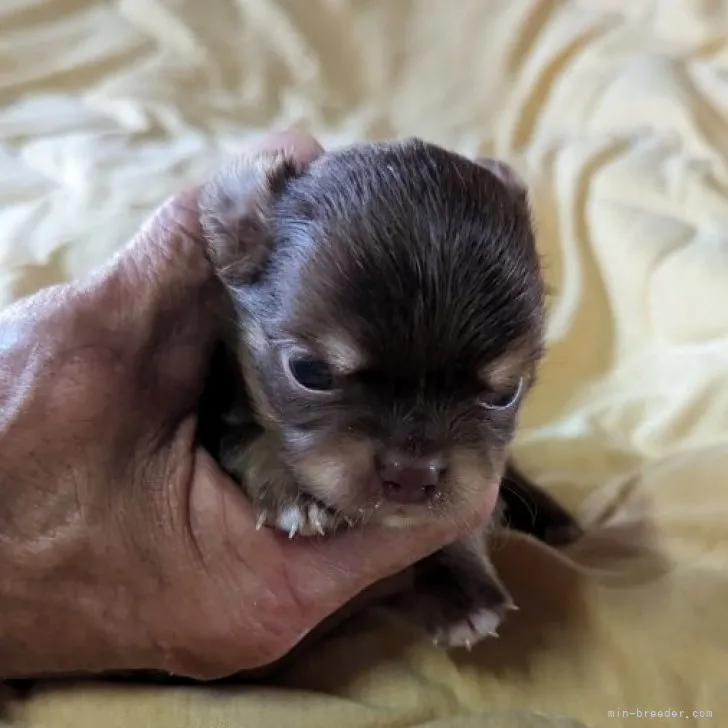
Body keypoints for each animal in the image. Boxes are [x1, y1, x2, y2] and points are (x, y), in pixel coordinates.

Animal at [198, 136, 576, 648]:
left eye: (504, 393)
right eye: (310, 372)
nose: (412, 474)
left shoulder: (478, 475)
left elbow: (461, 512)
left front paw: (461, 585)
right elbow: (245, 436)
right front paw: (294, 491)